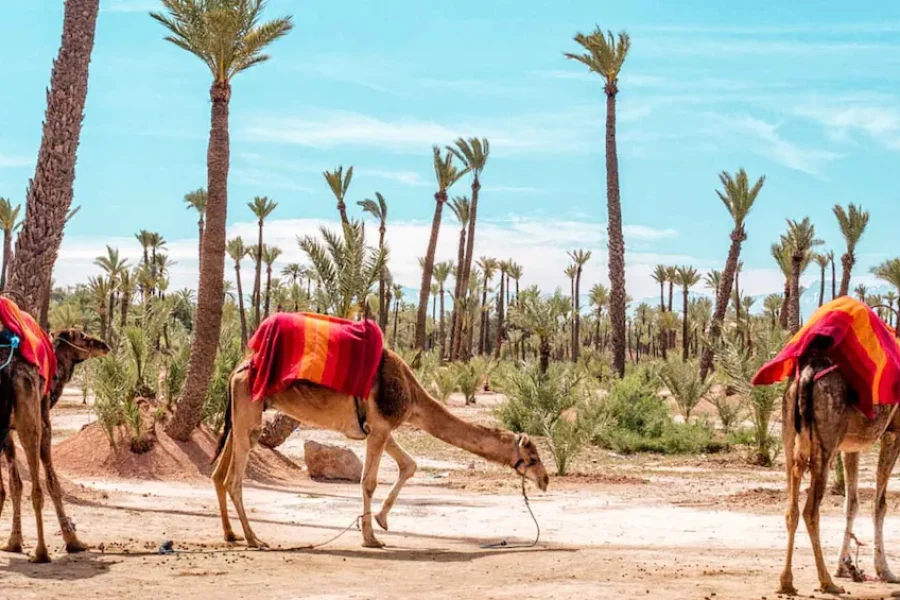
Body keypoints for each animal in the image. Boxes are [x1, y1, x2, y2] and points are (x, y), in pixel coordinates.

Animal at [0, 328, 110, 564]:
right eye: (83, 337)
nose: (104, 345)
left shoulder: (7, 432)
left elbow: (14, 486)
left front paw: (13, 543)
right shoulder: (44, 422)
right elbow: (52, 484)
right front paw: (74, 542)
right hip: (29, 418)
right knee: (37, 488)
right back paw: (41, 553)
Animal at [213, 346, 548, 548]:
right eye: (532, 456)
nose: (545, 480)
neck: (413, 395)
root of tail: (236, 370)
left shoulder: (381, 429)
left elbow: (409, 464)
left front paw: (382, 520)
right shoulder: (381, 427)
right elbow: (369, 481)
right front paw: (371, 537)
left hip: (241, 416)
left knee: (218, 473)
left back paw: (231, 534)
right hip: (249, 413)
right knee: (233, 478)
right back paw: (254, 539)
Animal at [776, 346, 900, 596]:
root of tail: (806, 374)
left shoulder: (851, 446)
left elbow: (851, 504)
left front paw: (843, 567)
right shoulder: (894, 434)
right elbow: (880, 505)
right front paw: (884, 570)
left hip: (789, 435)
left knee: (791, 509)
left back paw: (786, 582)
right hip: (826, 444)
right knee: (810, 511)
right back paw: (827, 583)